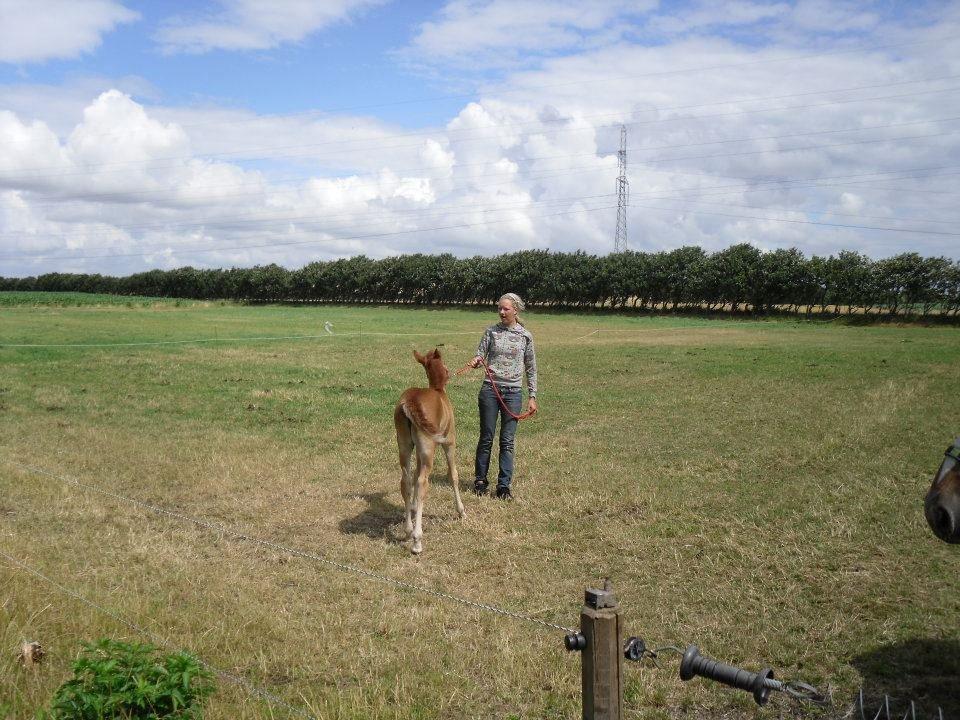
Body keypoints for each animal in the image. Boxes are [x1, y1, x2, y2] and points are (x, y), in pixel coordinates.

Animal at [392, 346, 464, 556]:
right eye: (445, 365)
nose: (449, 372)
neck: (438, 391)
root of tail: (410, 401)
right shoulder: (449, 442)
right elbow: (453, 475)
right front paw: (461, 511)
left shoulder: (417, 451)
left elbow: (414, 476)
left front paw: (415, 507)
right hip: (429, 448)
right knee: (423, 482)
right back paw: (417, 540)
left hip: (405, 446)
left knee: (406, 480)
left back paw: (408, 530)